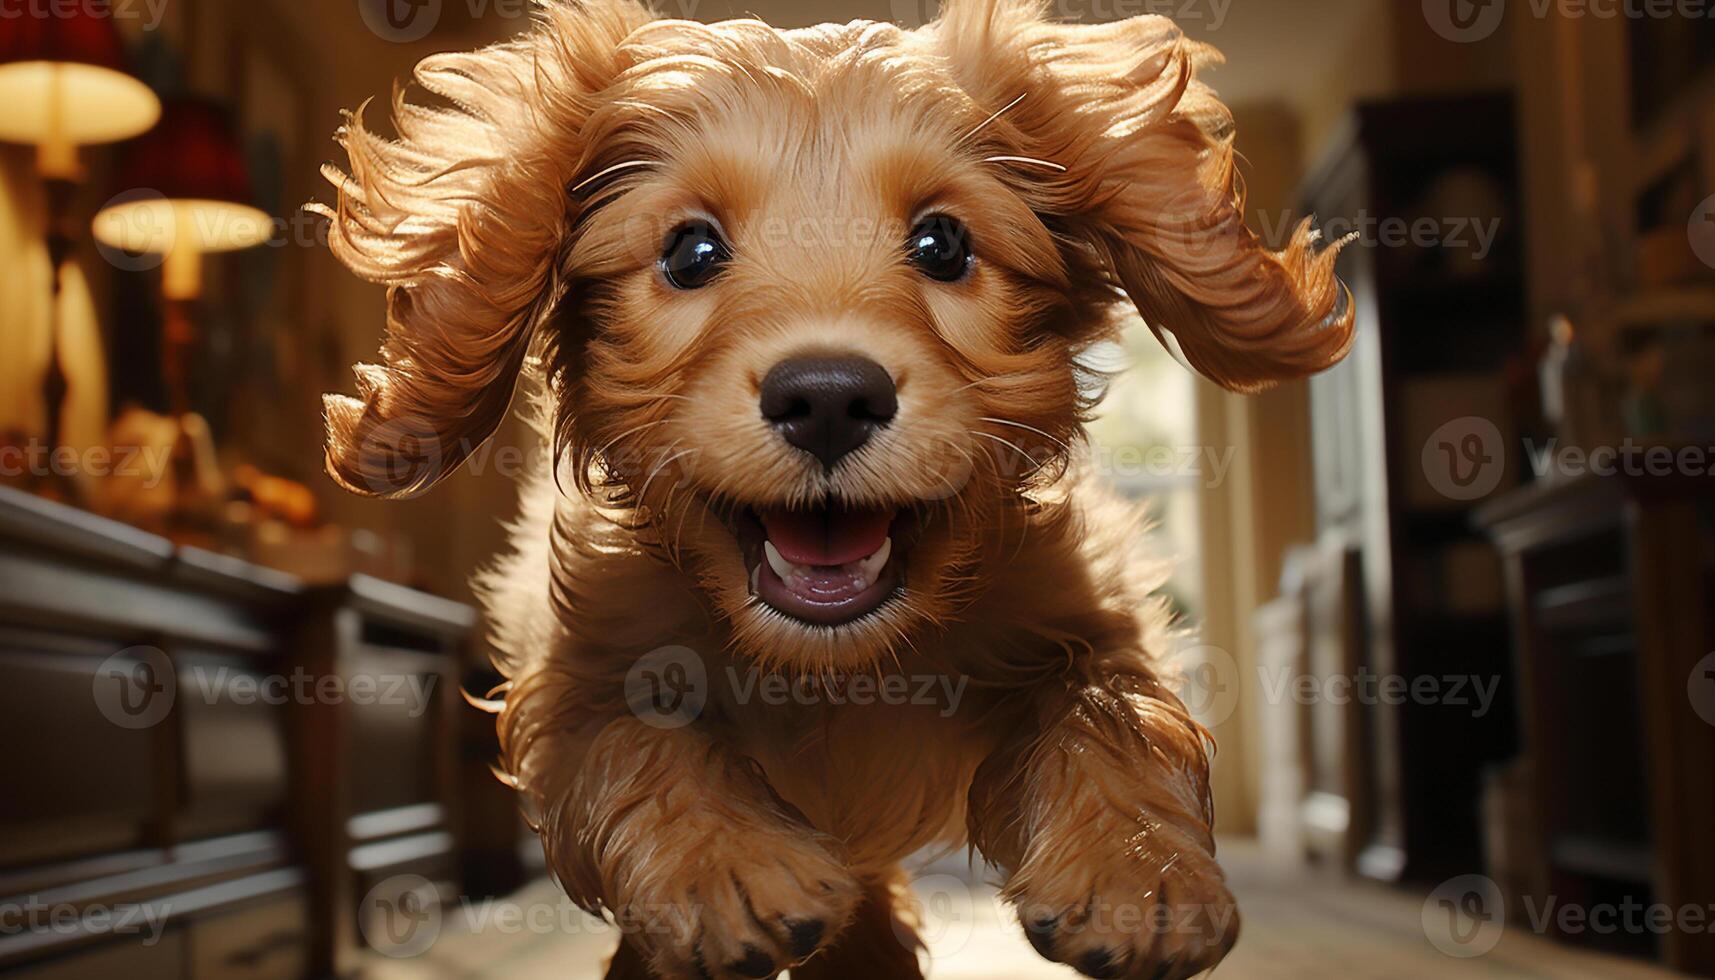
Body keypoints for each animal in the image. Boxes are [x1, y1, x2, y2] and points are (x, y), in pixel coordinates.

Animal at [315, 3, 1344, 974]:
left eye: (942, 243)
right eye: (689, 253)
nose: (827, 398)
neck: (833, 666)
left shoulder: (1077, 602)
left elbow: (1107, 703)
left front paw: (1136, 873)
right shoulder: (579, 667)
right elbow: (637, 734)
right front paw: (720, 865)